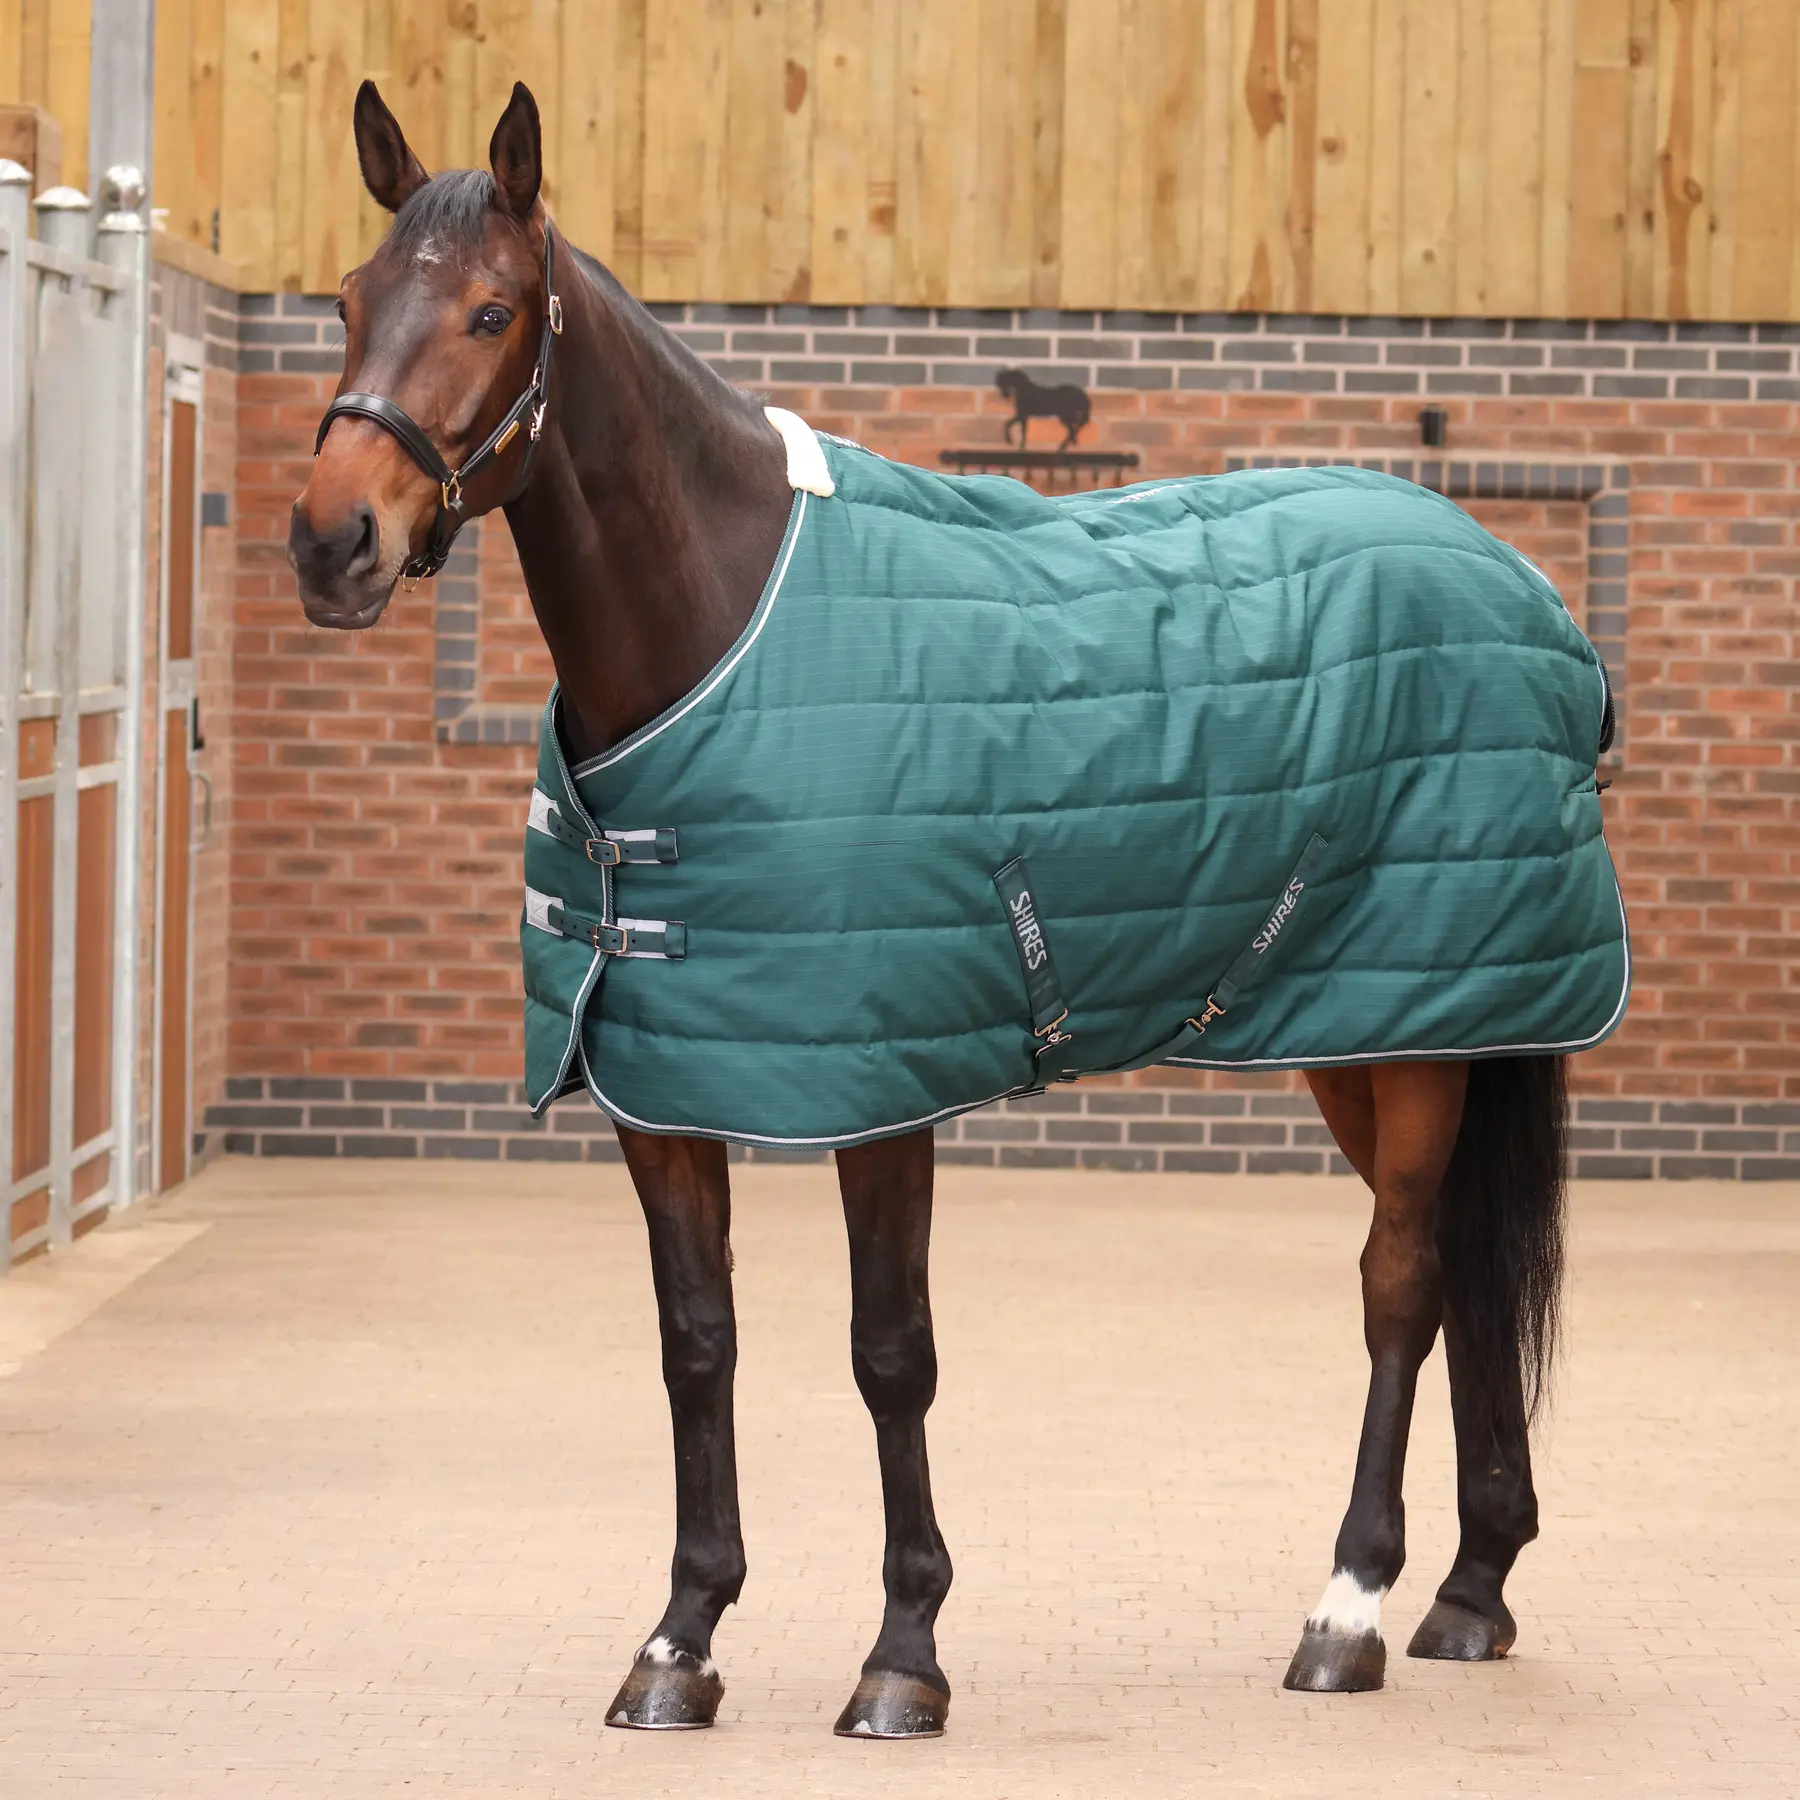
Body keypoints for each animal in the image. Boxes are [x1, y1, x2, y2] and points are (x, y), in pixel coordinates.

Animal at [289, 79, 1593, 1738]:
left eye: (490, 309)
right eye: (346, 302)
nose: (333, 542)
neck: (725, 628)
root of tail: (1524, 592)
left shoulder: (880, 1085)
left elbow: (888, 1354)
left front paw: (902, 1654)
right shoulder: (661, 1090)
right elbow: (696, 1345)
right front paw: (681, 1640)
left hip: (1421, 1042)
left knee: (1403, 1285)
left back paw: (1349, 1607)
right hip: (1386, 1032)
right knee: (1466, 1282)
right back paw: (1473, 1591)